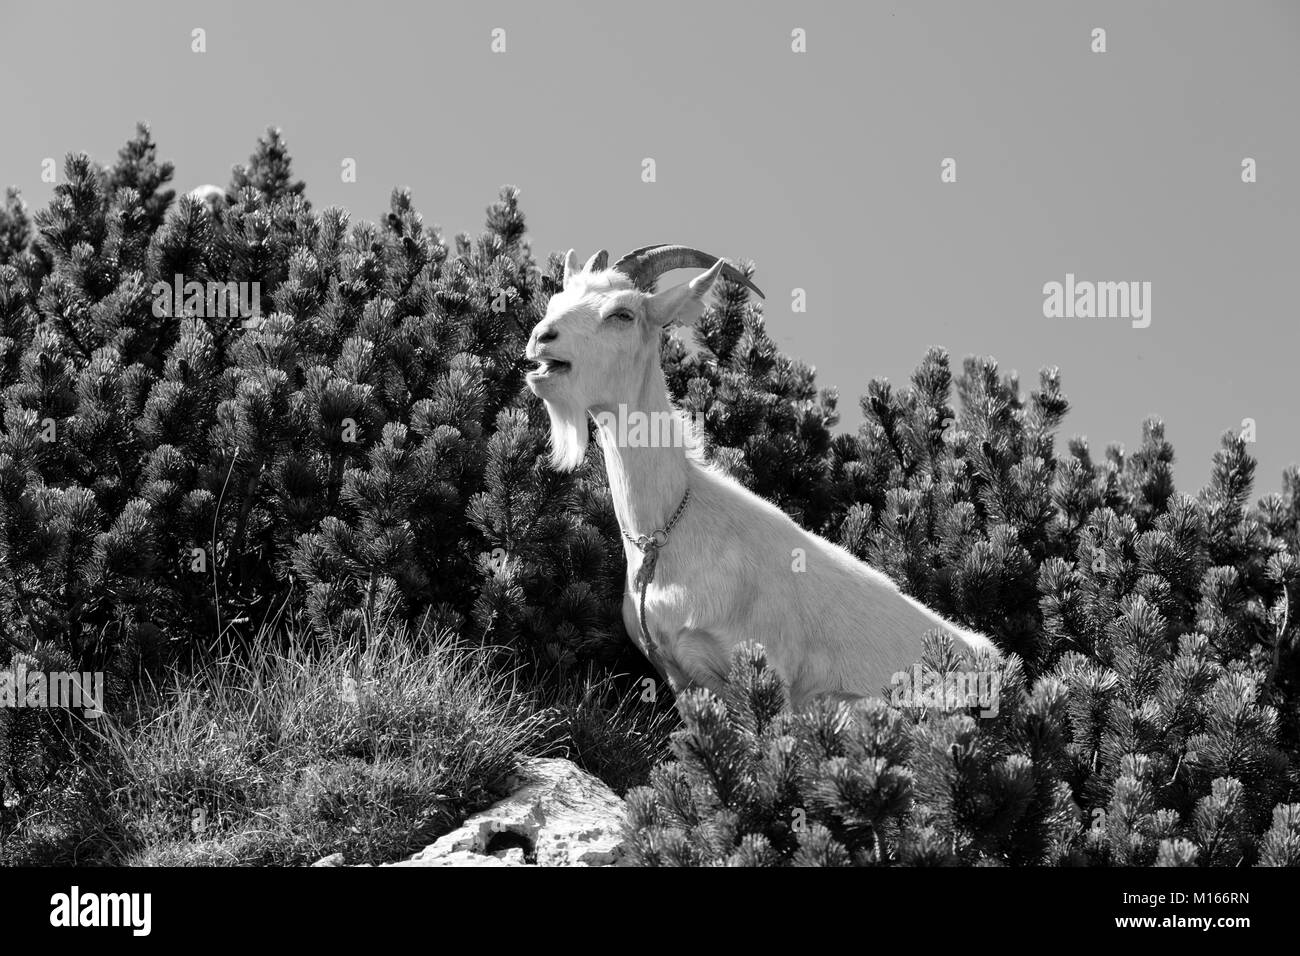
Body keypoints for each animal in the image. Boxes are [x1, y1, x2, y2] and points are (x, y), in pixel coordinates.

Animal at [527, 247, 993, 712]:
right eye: (556, 302)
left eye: (622, 313)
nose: (541, 337)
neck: (665, 536)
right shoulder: (679, 676)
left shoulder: (771, 673)